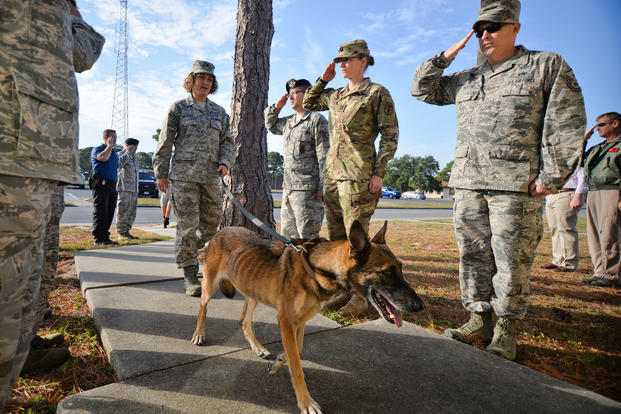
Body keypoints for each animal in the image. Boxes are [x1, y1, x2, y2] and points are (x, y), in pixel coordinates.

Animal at [190, 222, 422, 414]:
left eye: (401, 269)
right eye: (387, 273)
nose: (419, 306)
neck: (318, 269)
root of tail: (221, 231)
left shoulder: (299, 322)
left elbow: (298, 350)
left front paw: (278, 361)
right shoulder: (285, 321)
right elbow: (297, 368)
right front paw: (306, 403)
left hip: (253, 290)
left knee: (244, 321)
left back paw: (258, 347)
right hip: (210, 286)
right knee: (203, 309)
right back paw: (199, 334)